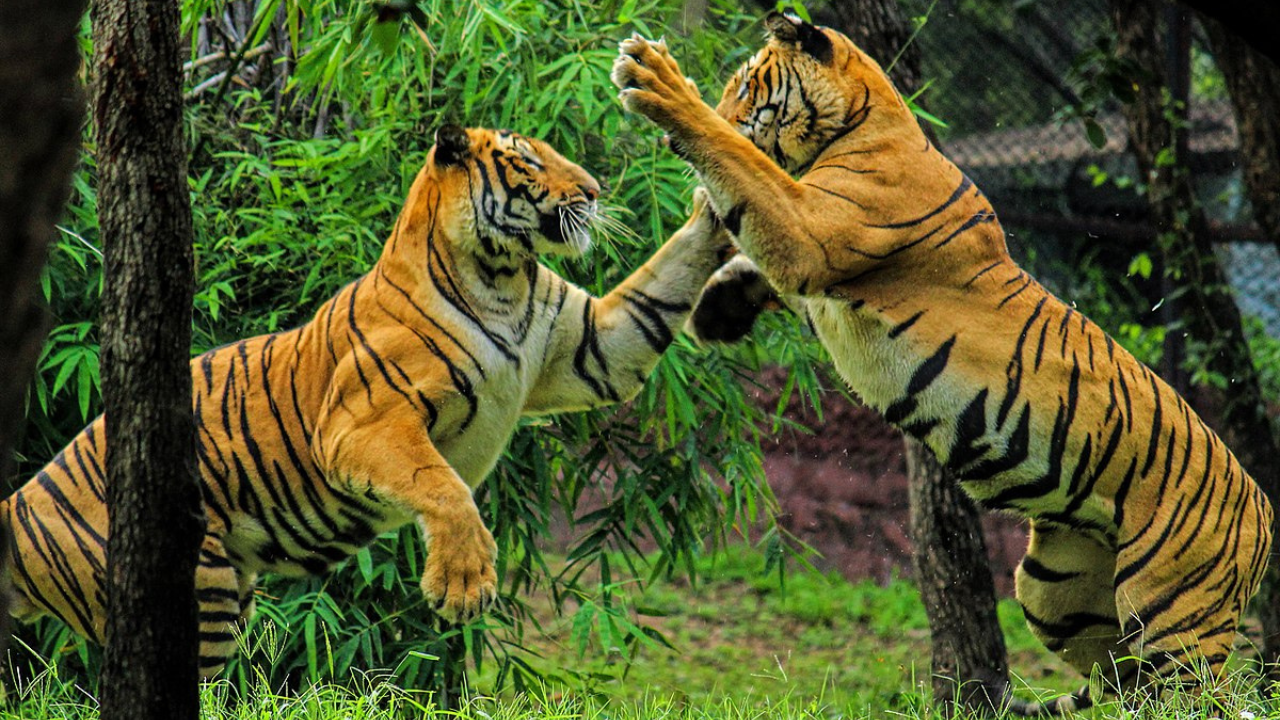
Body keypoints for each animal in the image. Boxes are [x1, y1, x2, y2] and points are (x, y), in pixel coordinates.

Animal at [2, 124, 732, 676]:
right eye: (529, 160)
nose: (595, 190)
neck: (502, 277)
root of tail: (18, 501)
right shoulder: (365, 422)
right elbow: (441, 485)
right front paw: (462, 586)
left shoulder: (593, 347)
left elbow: (662, 283)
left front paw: (717, 204)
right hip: (191, 597)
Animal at [609, 11, 1269, 712]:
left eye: (744, 88)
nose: (722, 109)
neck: (864, 122)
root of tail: (1264, 512)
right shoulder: (809, 247)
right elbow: (752, 246)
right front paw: (718, 309)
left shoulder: (811, 229)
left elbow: (745, 169)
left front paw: (659, 83)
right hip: (1055, 593)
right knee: (1124, 678)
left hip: (1174, 616)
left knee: (1205, 693)